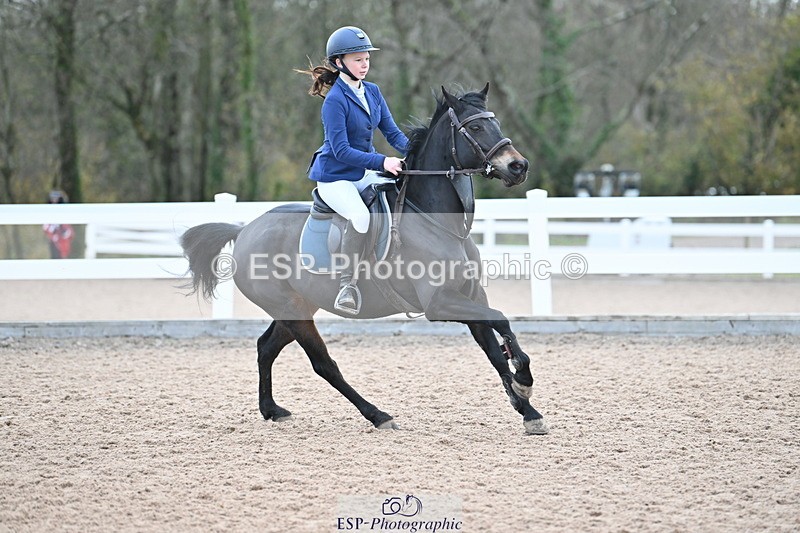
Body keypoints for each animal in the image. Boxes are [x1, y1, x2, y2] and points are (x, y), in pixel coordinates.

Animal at [180, 83, 549, 435]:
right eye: (474, 127)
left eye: (496, 122)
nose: (519, 166)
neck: (438, 220)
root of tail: (244, 229)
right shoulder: (440, 302)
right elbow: (501, 320)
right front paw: (524, 380)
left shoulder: (471, 296)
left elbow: (495, 348)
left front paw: (527, 409)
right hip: (293, 311)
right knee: (324, 365)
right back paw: (378, 415)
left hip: (296, 307)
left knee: (265, 347)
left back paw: (272, 410)